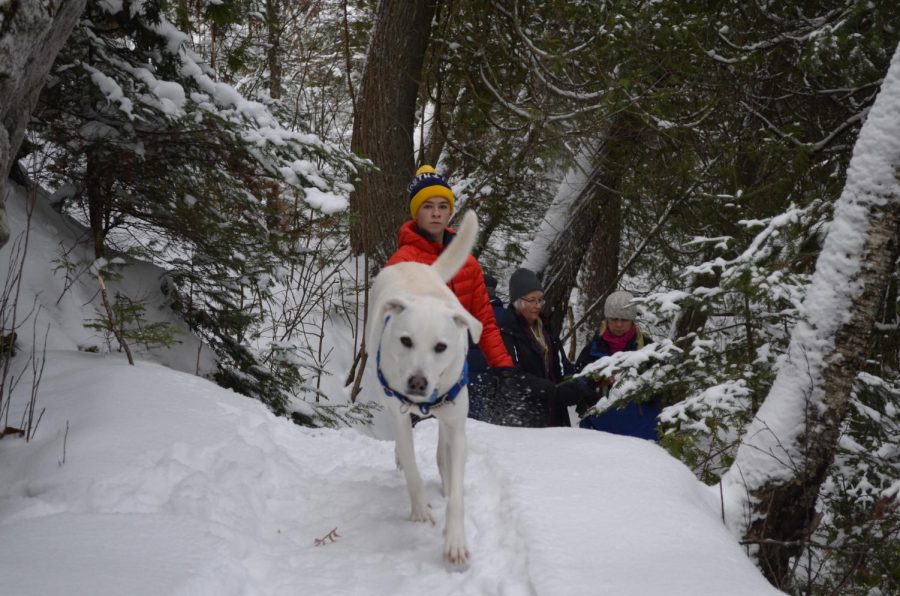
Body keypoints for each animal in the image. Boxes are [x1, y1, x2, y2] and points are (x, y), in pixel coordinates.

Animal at [364, 211, 486, 568]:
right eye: (406, 340)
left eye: (441, 347)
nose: (417, 382)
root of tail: (419, 267)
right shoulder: (400, 414)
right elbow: (412, 468)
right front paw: (420, 511)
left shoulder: (458, 425)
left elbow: (457, 489)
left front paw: (455, 541)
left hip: (449, 414)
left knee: (442, 448)